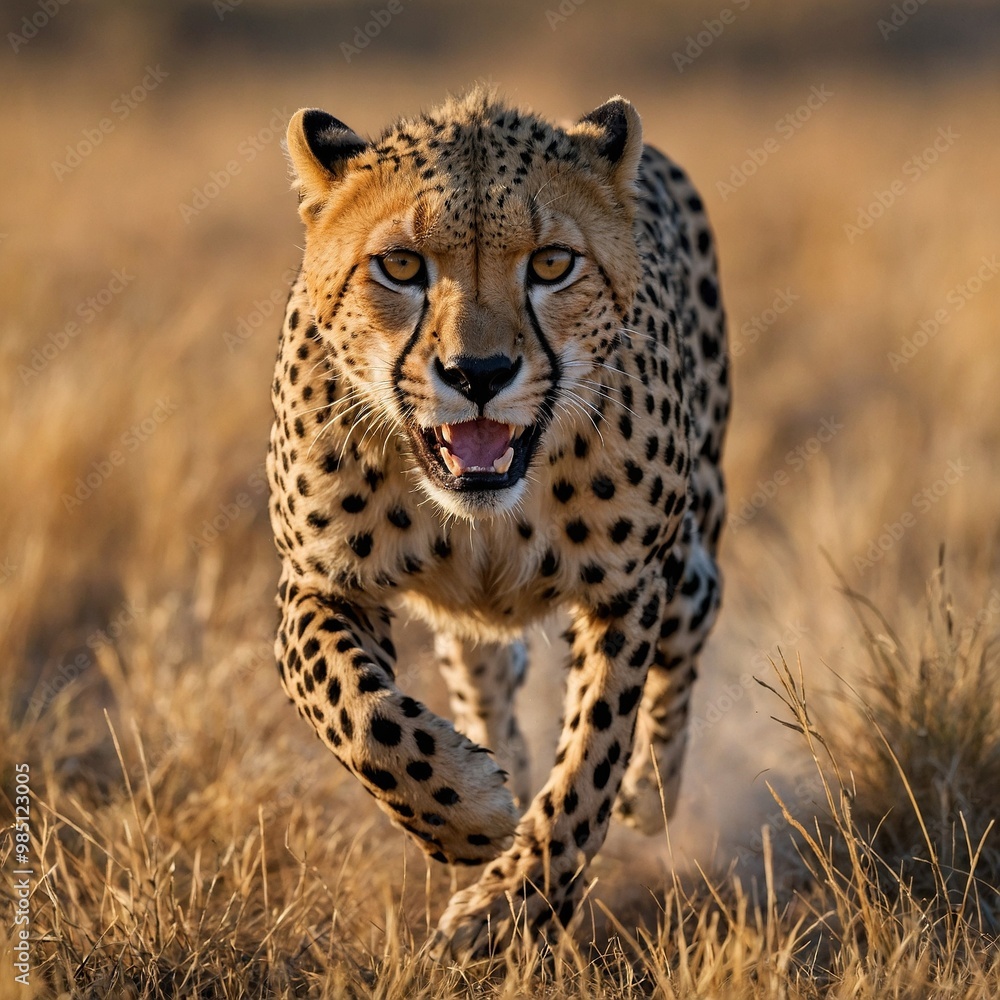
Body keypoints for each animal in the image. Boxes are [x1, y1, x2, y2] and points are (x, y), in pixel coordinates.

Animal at [266, 86, 729, 959]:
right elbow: (349, 705)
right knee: (479, 664)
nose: (478, 374)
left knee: (694, 617)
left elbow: (592, 753)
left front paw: (512, 908)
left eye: (551, 264)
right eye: (401, 266)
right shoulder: (321, 582)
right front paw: (469, 812)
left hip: (688, 549)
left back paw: (652, 790)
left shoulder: (626, 592)